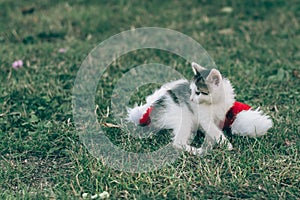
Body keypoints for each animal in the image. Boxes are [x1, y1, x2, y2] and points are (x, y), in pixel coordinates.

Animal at [127, 62, 274, 155]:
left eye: (198, 92)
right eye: (191, 91)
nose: (192, 99)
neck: (216, 102)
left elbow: (214, 129)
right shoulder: (204, 116)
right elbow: (214, 130)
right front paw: (226, 144)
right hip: (184, 117)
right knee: (177, 143)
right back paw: (195, 150)